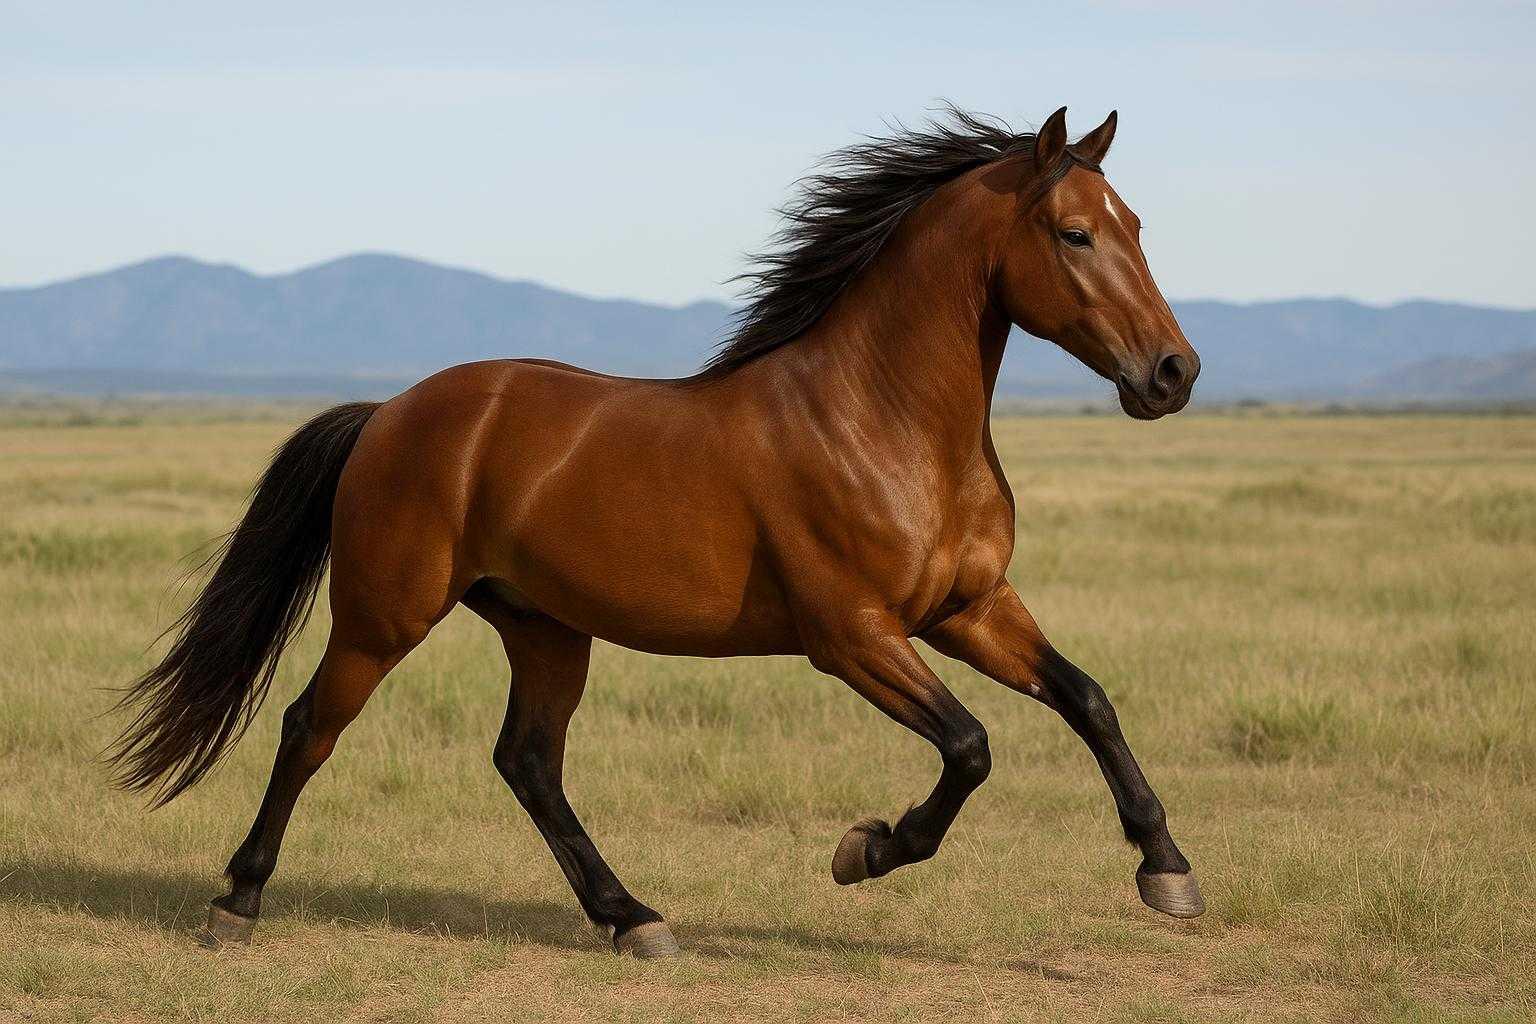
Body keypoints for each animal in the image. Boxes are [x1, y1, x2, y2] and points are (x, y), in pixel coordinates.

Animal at [109, 106, 1204, 958]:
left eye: (1136, 224)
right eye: (1074, 233)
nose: (1173, 372)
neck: (882, 420)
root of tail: (389, 413)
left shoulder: (970, 608)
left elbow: (1089, 700)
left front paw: (1169, 870)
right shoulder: (852, 635)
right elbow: (971, 747)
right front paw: (864, 850)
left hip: (545, 628)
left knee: (528, 764)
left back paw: (632, 917)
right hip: (384, 617)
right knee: (310, 727)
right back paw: (237, 901)